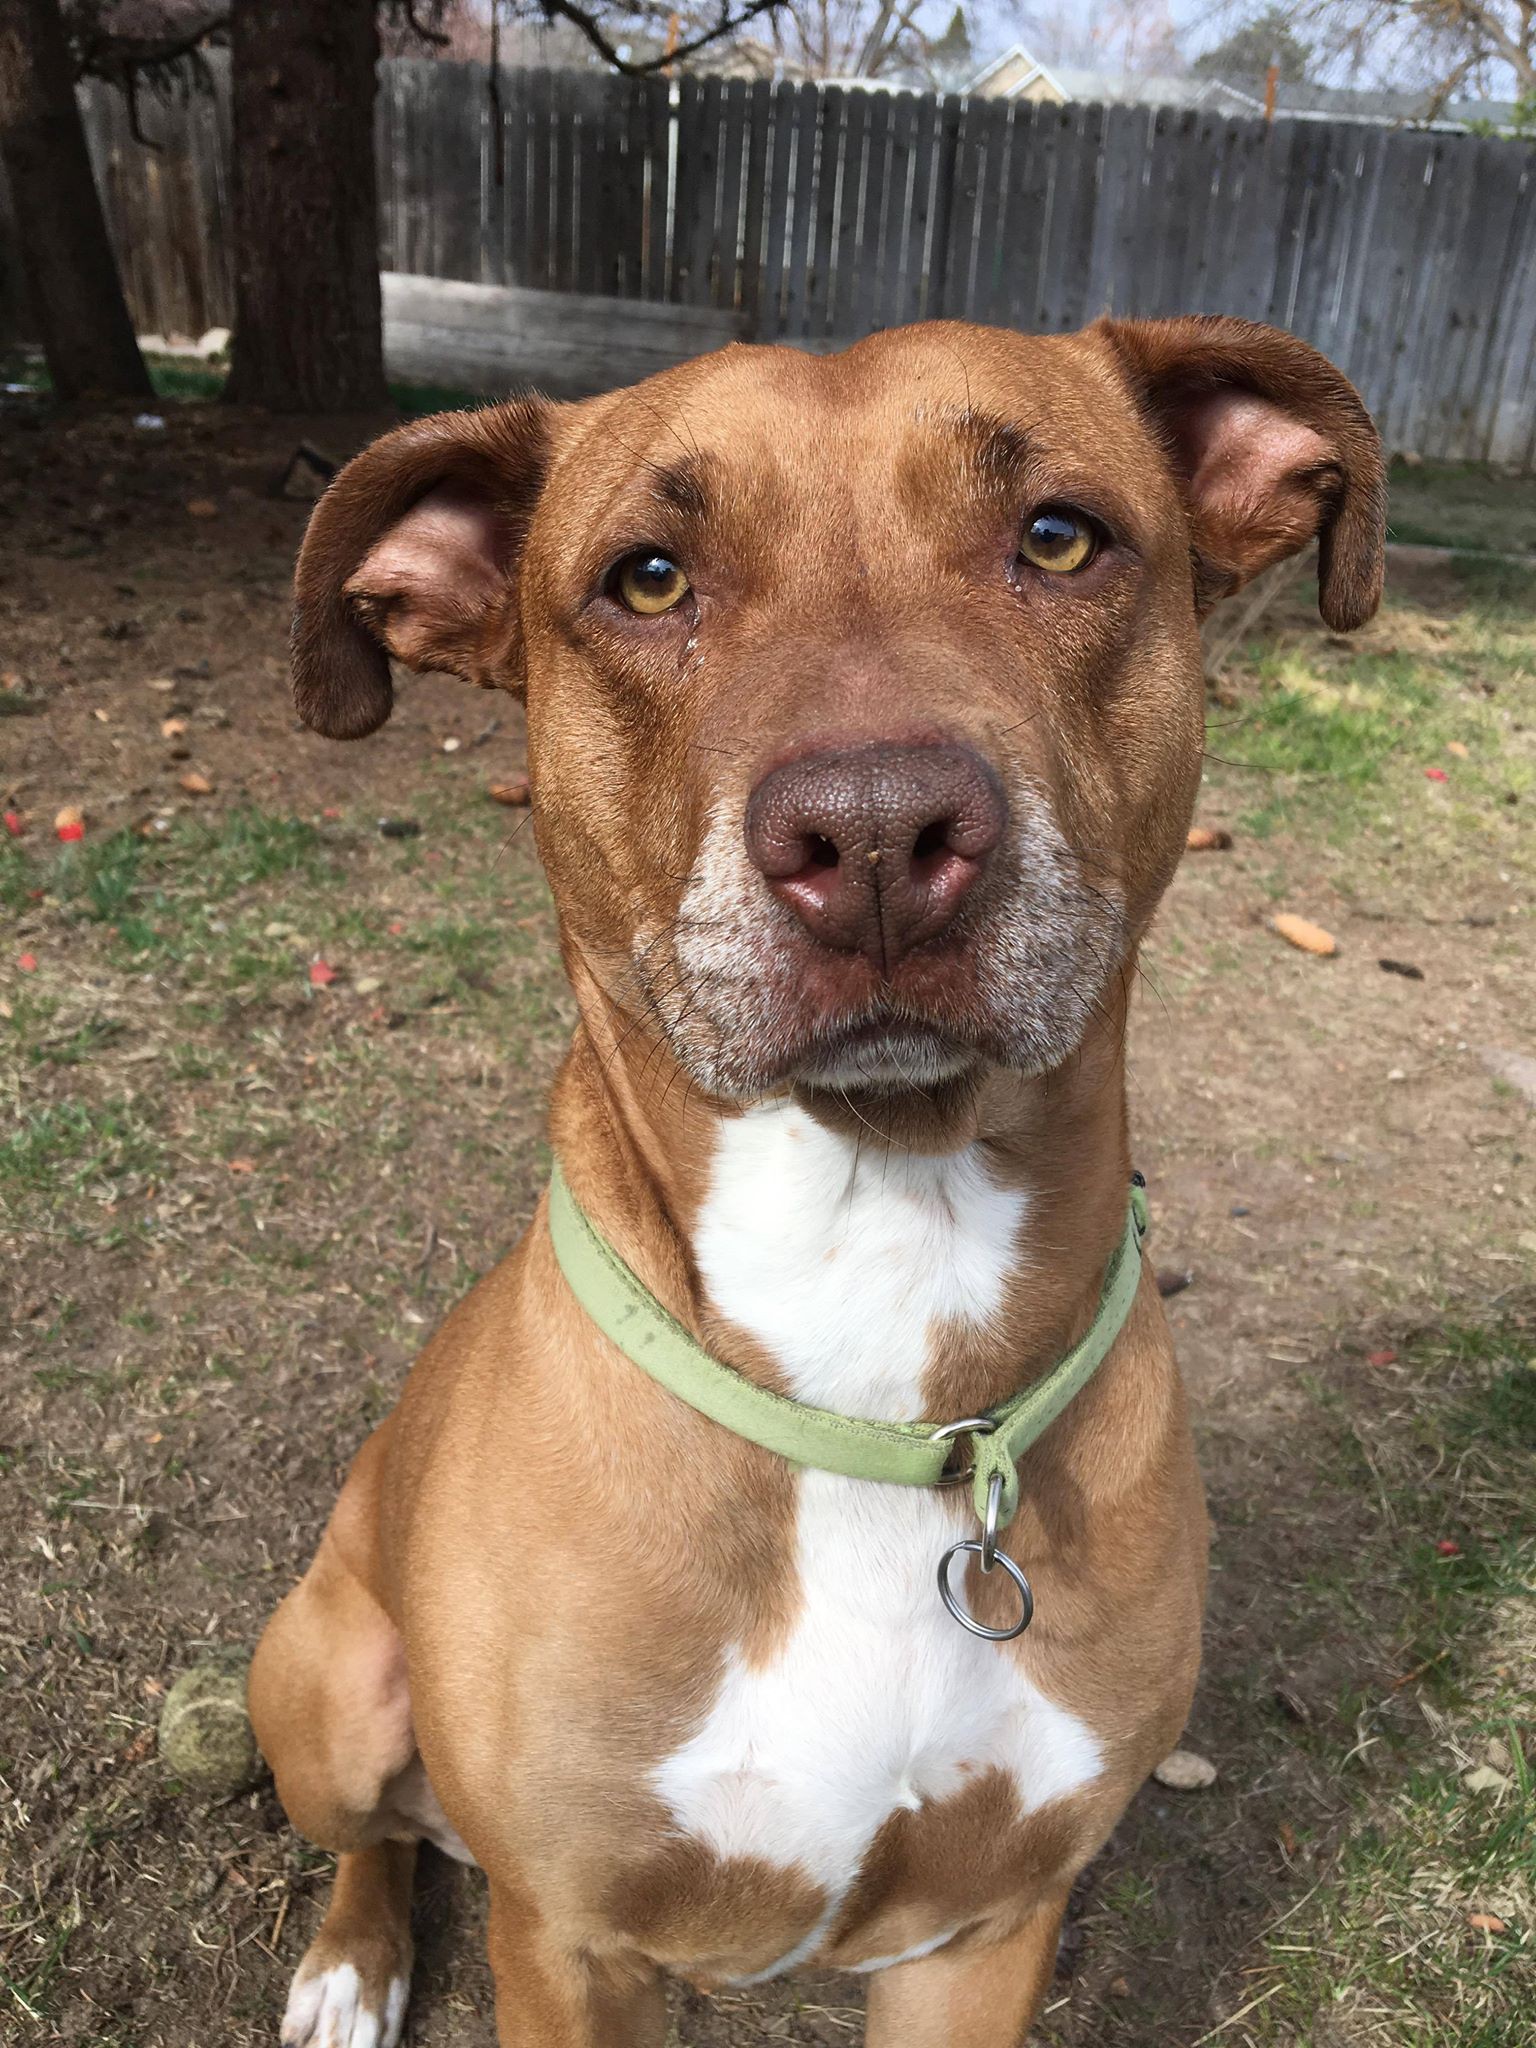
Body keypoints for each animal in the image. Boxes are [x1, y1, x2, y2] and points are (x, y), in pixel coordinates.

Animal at [249, 311, 1384, 2039]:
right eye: (648, 579)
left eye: (1060, 538)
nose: (875, 834)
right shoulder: (566, 1945)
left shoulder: (987, 1930)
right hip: (320, 1680)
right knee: (372, 1832)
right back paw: (349, 1964)